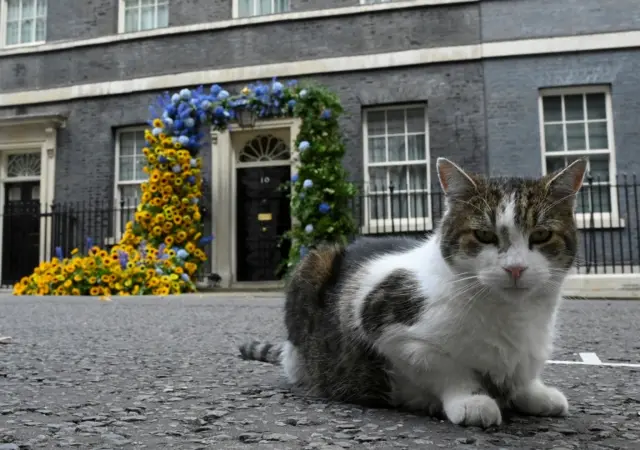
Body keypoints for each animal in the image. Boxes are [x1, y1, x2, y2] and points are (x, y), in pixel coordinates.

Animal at [239, 156, 584, 428]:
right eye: (484, 235)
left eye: (541, 235)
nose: (515, 268)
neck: (511, 315)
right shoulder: (385, 324)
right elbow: (445, 367)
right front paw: (472, 400)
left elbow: (522, 375)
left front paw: (534, 392)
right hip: (312, 265)